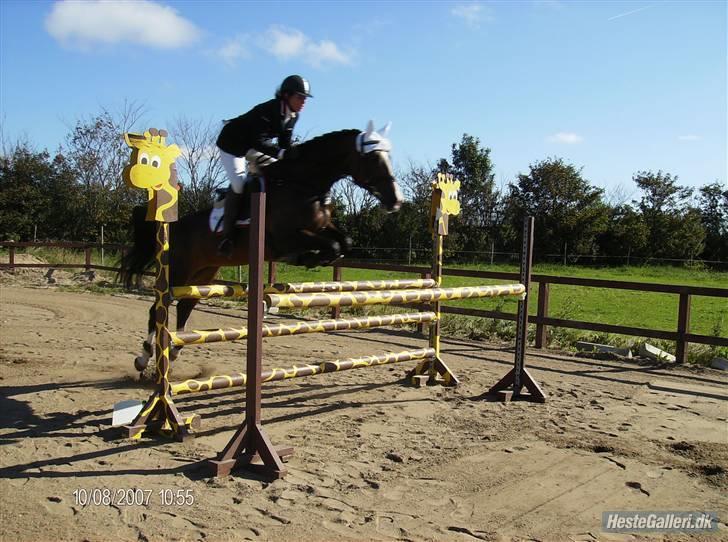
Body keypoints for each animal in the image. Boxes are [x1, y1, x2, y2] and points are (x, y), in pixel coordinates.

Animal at [120, 122, 404, 374]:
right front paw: (307, 258)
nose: (396, 201)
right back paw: (143, 358)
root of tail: (175, 226)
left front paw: (316, 259)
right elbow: (331, 244)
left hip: (204, 273)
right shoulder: (285, 238)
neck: (303, 183)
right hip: (179, 270)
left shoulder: (322, 227)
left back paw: (175, 350)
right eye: (373, 158)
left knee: (185, 307)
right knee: (159, 308)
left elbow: (344, 242)